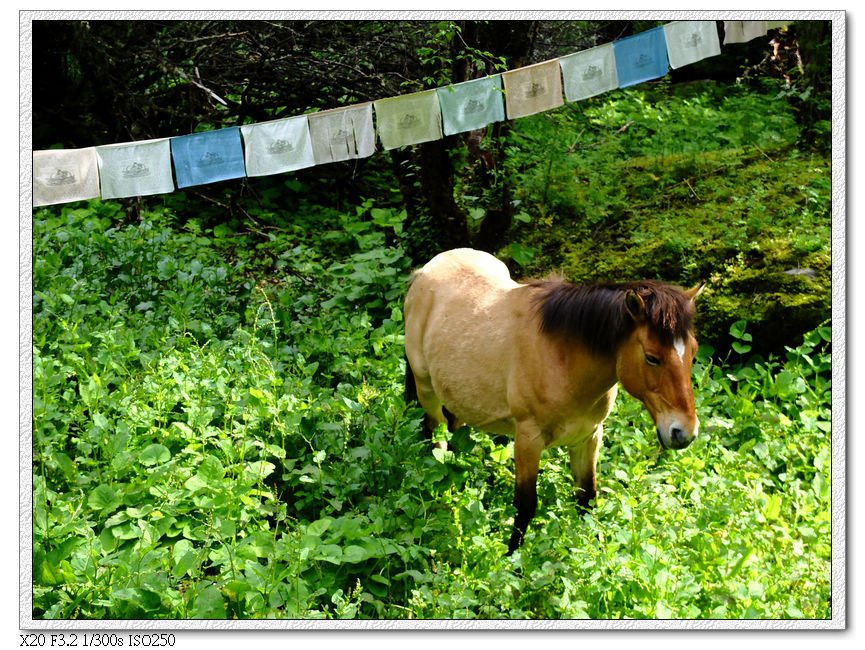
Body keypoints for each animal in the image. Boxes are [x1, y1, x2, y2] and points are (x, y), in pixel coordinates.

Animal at [404, 248, 704, 552]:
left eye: (693, 352)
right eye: (652, 357)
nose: (685, 432)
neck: (564, 358)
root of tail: (425, 271)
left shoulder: (589, 437)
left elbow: (587, 498)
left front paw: (594, 551)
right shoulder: (527, 440)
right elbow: (525, 506)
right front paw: (512, 558)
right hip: (426, 389)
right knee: (434, 432)